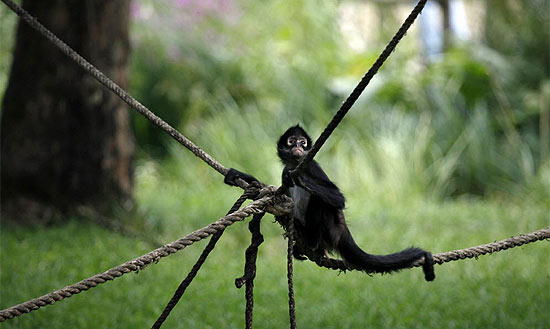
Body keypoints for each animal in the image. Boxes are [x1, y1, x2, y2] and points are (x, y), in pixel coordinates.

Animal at [224, 124, 436, 280]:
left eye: (302, 142)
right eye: (291, 141)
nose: (298, 146)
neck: (296, 163)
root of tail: (343, 231)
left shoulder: (311, 166)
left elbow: (337, 199)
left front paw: (295, 177)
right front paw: (245, 177)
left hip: (330, 230)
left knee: (321, 204)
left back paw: (312, 243)